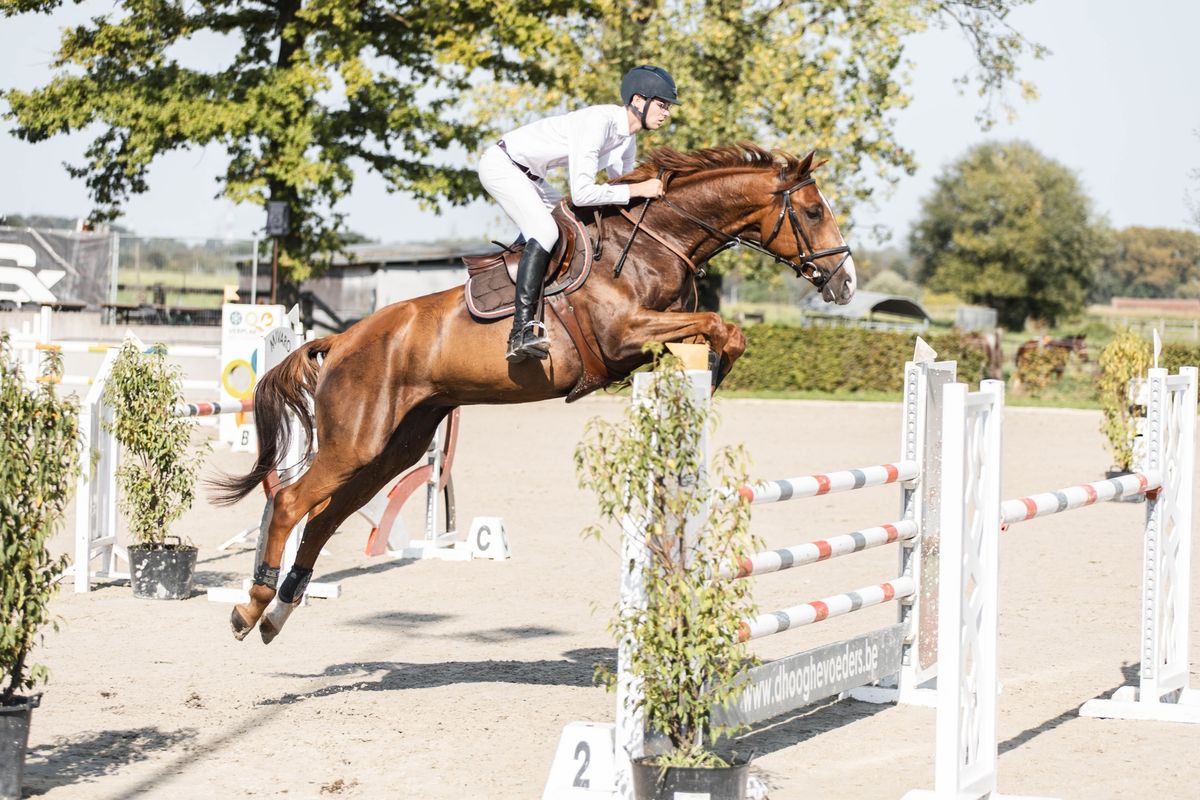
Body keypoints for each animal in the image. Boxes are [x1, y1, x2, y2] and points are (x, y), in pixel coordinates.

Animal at [211, 142, 859, 642]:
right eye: (811, 210)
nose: (845, 283)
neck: (655, 243)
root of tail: (343, 339)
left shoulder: (650, 339)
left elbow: (723, 332)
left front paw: (712, 375)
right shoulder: (626, 335)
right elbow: (723, 327)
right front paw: (716, 370)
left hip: (393, 447)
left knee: (325, 518)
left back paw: (278, 613)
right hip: (356, 442)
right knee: (290, 502)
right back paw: (250, 608)